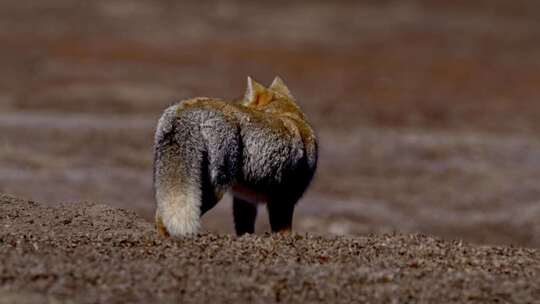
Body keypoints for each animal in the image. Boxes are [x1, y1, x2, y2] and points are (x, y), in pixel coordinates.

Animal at [153, 76, 316, 238]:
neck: (290, 115)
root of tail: (188, 109)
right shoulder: (284, 201)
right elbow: (284, 233)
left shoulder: (245, 200)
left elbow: (244, 229)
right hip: (212, 190)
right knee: (162, 219)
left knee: (159, 215)